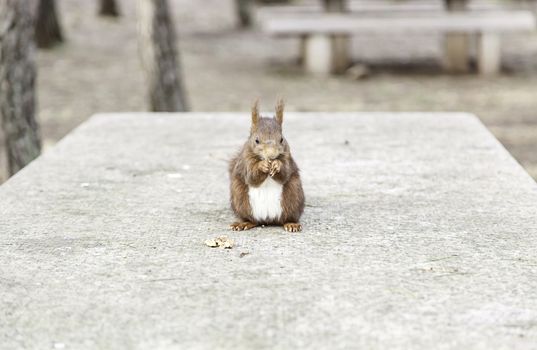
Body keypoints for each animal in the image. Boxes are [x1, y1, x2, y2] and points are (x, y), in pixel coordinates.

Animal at [228, 100, 304, 231]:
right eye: (256, 140)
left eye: (281, 139)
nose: (271, 155)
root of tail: (267, 220)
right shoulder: (245, 161)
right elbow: (251, 176)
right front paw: (261, 166)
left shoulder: (288, 157)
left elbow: (285, 174)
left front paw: (277, 165)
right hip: (240, 200)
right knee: (252, 220)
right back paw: (243, 223)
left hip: (294, 197)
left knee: (286, 218)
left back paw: (291, 224)